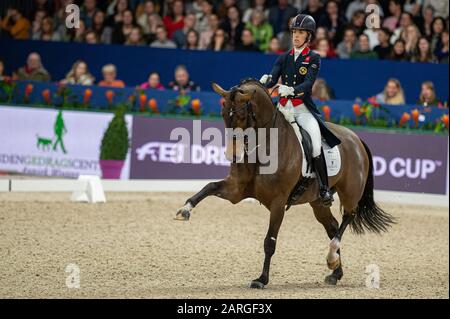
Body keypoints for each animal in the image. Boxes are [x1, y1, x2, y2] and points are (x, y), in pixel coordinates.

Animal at [174, 79, 392, 288]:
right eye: (223, 114)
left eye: (242, 115)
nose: (232, 155)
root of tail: (356, 138)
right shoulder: (236, 190)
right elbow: (209, 187)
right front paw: (184, 210)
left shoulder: (278, 202)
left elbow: (269, 242)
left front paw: (261, 280)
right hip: (318, 202)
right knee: (332, 226)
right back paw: (335, 272)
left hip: (350, 193)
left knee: (347, 218)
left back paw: (331, 258)